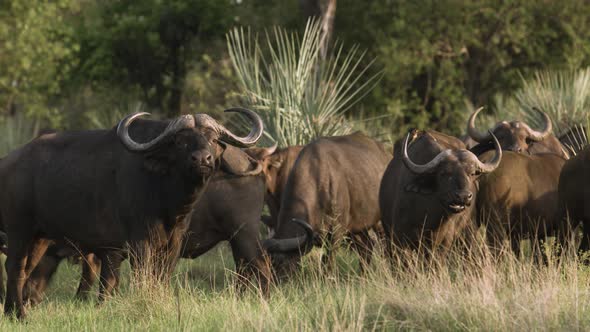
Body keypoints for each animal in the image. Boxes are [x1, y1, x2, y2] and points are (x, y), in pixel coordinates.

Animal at [0, 109, 264, 320]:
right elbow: (137, 278)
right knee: (15, 267)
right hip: (19, 230)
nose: (202, 159)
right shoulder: (137, 243)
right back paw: (19, 315)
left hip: (40, 238)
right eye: (180, 141)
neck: (165, 198)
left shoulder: (172, 243)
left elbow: (160, 277)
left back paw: (14, 311)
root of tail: (10, 161)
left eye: (212, 139)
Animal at [264, 131, 394, 274]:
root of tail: (387, 155)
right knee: (367, 247)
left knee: (386, 246)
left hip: (379, 223)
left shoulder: (337, 231)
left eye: (281, 262)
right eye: (270, 263)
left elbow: (328, 262)